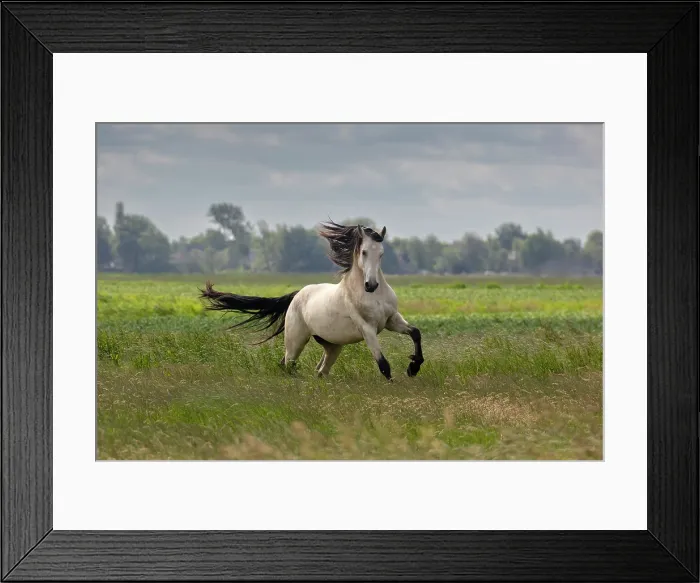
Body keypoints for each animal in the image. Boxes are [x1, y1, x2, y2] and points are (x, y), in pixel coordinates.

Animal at [198, 220, 424, 381]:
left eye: (382, 254)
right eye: (364, 252)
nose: (371, 285)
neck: (370, 296)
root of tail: (297, 295)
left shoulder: (391, 320)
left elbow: (415, 333)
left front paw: (413, 367)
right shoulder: (367, 328)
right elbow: (384, 364)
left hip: (332, 345)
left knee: (320, 370)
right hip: (295, 341)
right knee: (288, 364)